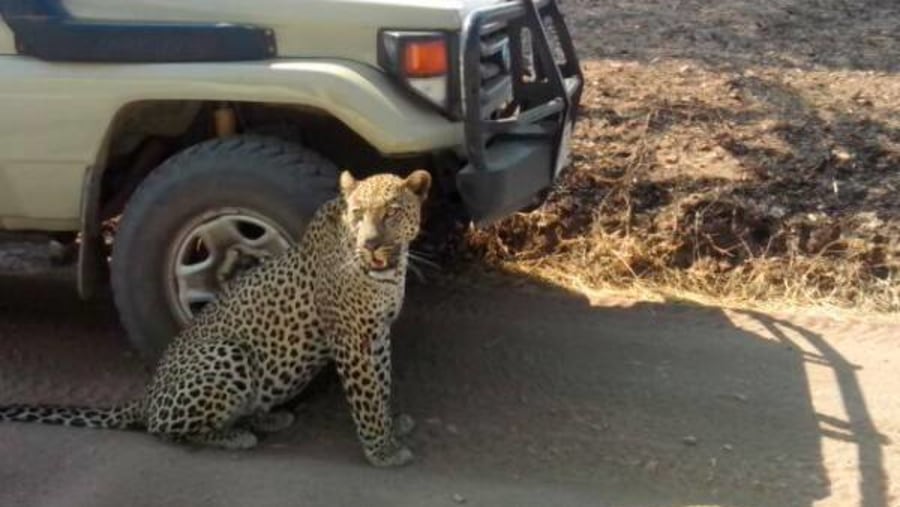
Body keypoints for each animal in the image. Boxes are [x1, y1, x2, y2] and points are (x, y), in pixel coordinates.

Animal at [0, 170, 432, 468]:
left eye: (392, 213)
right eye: (358, 215)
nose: (370, 243)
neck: (390, 267)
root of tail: (147, 396)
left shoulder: (377, 332)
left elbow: (382, 381)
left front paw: (392, 424)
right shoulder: (351, 337)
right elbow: (366, 395)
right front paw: (382, 450)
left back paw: (264, 419)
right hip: (226, 353)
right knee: (164, 429)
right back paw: (235, 435)